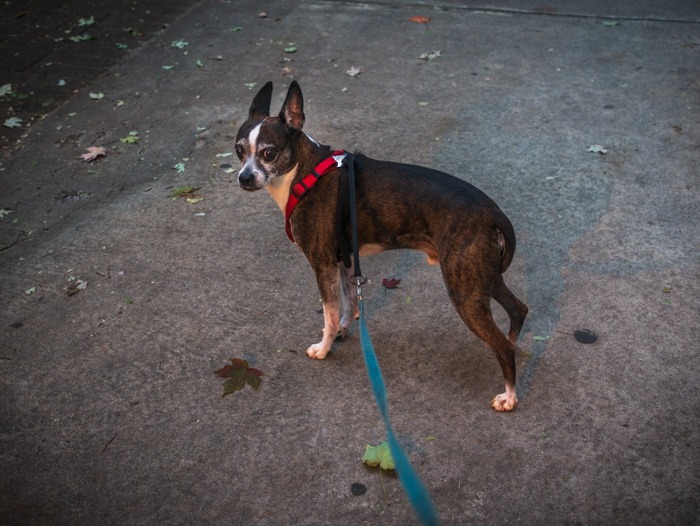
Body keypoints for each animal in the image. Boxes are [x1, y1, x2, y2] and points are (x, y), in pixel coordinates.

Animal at [232, 81, 528, 412]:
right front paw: (344, 330)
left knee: (502, 345)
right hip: (483, 277)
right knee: (519, 310)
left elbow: (328, 313)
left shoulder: (322, 264)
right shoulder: (343, 261)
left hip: (464, 289)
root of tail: (494, 213)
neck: (303, 172)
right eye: (239, 150)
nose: (245, 177)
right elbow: (348, 302)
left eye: (269, 153)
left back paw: (509, 396)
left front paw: (323, 347)